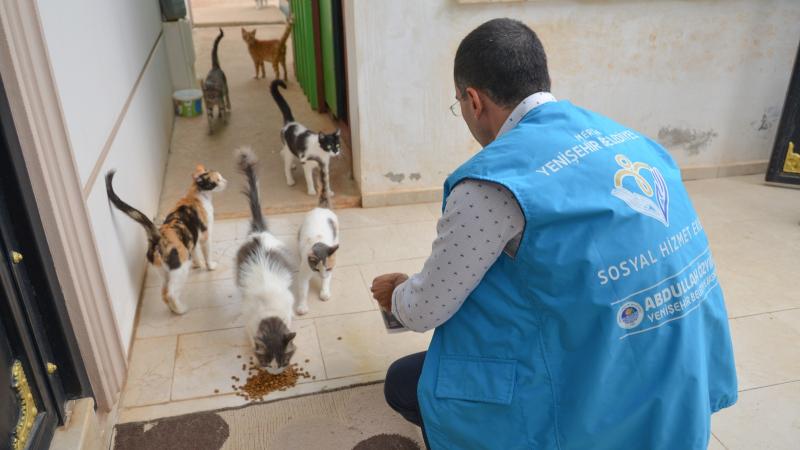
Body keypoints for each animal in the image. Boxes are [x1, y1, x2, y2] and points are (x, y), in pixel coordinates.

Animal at [104, 164, 227, 312]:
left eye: (221, 177)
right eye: (217, 180)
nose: (226, 181)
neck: (196, 194)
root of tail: (157, 236)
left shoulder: (192, 238)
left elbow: (196, 253)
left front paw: (198, 264)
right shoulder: (205, 235)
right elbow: (207, 254)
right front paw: (210, 266)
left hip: (164, 272)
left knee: (163, 293)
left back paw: (174, 310)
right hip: (180, 269)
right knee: (170, 293)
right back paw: (181, 310)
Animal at [296, 160, 340, 314]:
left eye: (327, 269)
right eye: (316, 269)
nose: (322, 276)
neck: (319, 242)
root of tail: (322, 208)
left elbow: (327, 282)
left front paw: (324, 292)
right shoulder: (303, 274)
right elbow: (302, 291)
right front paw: (302, 307)